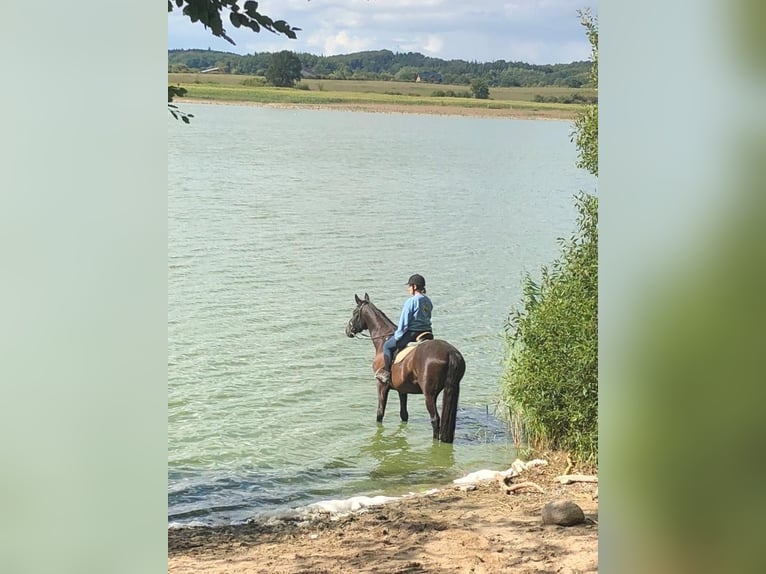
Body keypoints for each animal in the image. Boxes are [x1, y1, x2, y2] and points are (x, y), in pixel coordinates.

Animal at [344, 294, 464, 444]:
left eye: (354, 312)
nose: (348, 330)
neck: (383, 339)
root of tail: (450, 352)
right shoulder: (402, 389)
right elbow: (404, 414)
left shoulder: (381, 385)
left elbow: (380, 413)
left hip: (429, 394)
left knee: (435, 419)